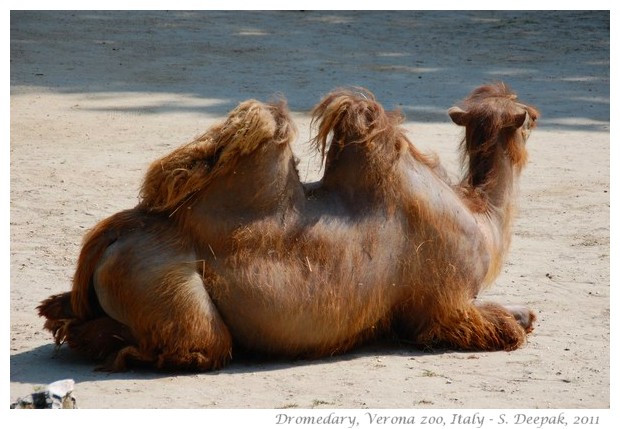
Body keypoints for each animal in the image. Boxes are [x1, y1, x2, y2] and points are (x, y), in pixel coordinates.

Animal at [36, 82, 536, 370]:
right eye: (525, 113)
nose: (536, 113)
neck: (481, 217)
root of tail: (112, 234)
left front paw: (523, 313)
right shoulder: (443, 306)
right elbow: (506, 329)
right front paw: (520, 320)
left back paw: (60, 313)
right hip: (162, 283)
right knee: (201, 343)